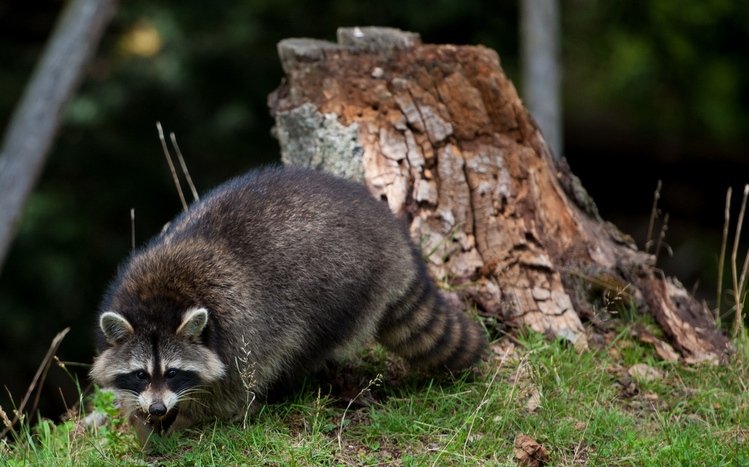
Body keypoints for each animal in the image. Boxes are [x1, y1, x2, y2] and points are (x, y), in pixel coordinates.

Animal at [90, 166, 486, 442]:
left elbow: (230, 392)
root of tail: (393, 237)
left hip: (343, 290)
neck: (159, 300)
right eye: (141, 374)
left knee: (302, 346)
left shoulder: (239, 331)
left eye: (173, 372)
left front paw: (186, 421)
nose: (158, 407)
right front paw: (142, 419)